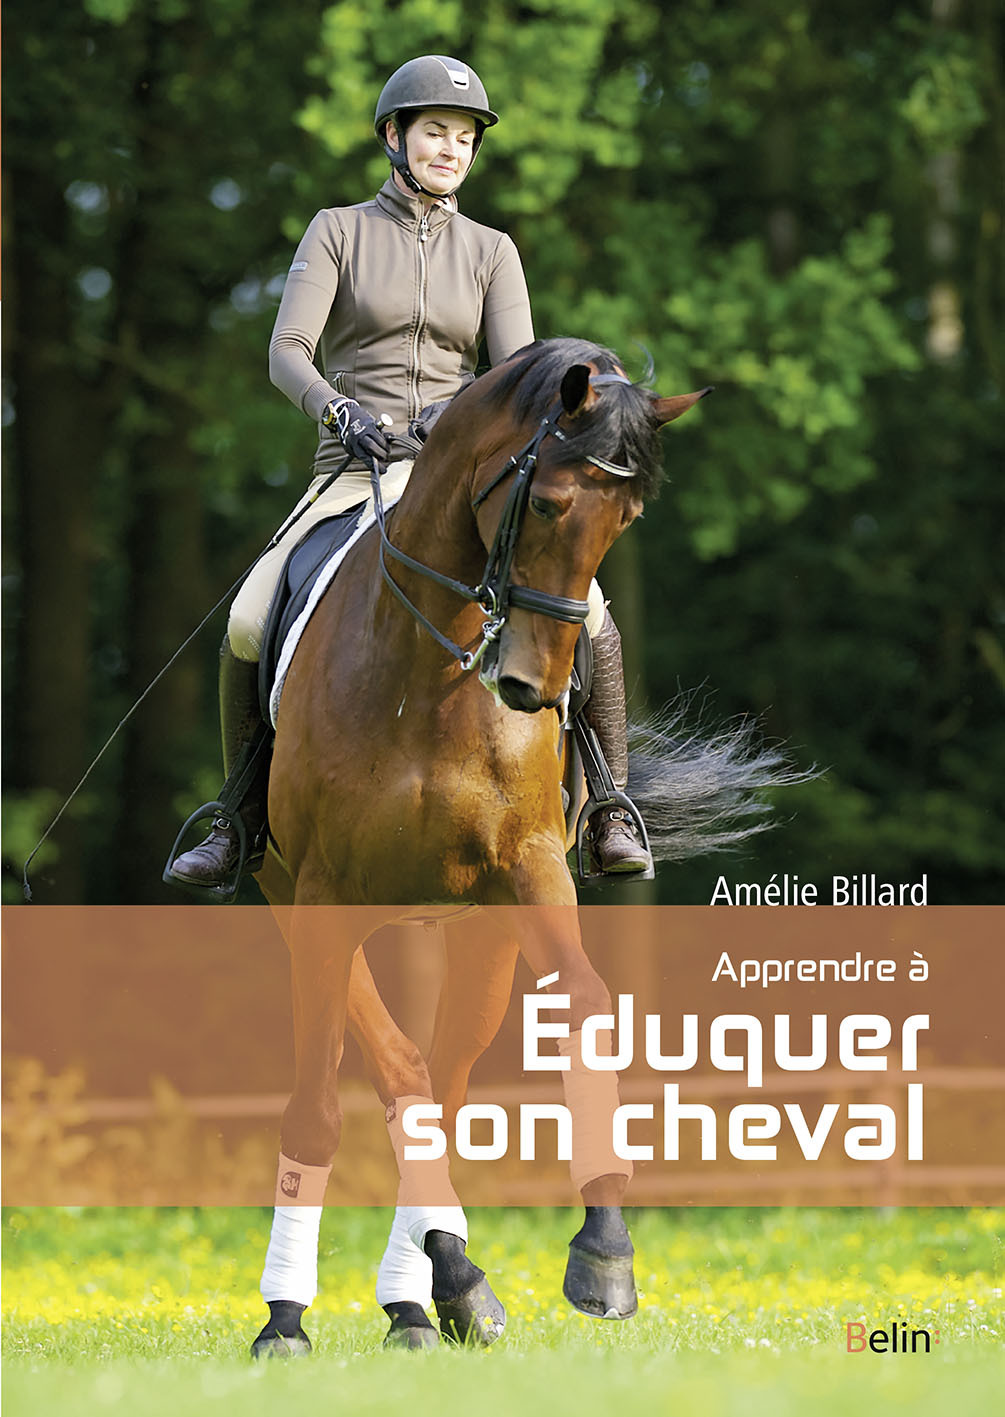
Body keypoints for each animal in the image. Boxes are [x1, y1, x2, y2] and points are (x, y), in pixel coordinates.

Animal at [247, 338, 791, 1355]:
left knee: (441, 1086)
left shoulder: (530, 873)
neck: (427, 670)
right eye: (543, 504)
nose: (534, 689)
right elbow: (321, 1101)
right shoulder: (322, 900)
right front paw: (285, 1319)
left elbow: (581, 1009)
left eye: (625, 518)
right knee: (403, 1075)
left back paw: (428, 1294)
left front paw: (601, 1256)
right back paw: (418, 1284)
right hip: (299, 903)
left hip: (480, 930)